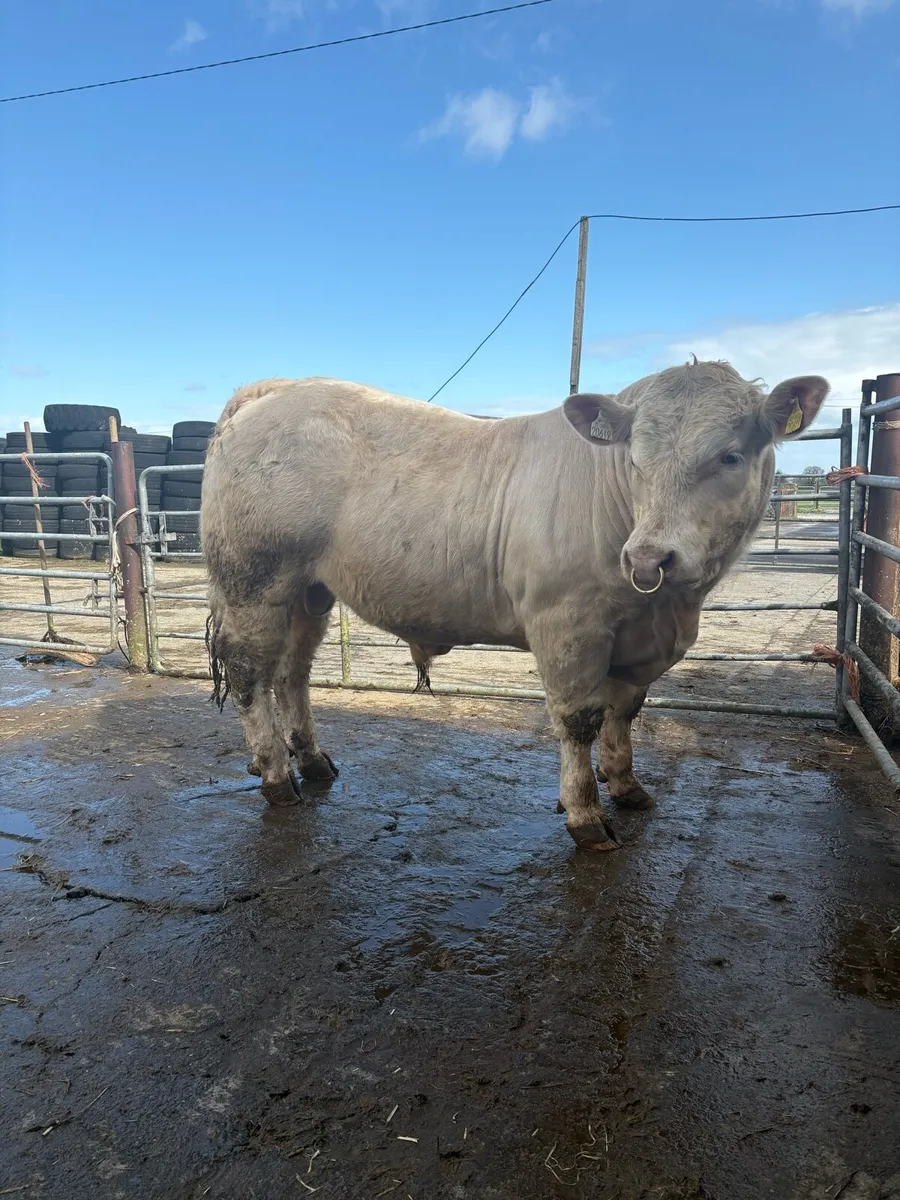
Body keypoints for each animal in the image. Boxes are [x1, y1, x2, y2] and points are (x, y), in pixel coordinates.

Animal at [201, 362, 828, 851]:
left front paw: (627, 787)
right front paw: (586, 815)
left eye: (730, 456)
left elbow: (625, 712)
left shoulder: (637, 639)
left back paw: (312, 762)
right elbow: (579, 720)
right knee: (250, 671)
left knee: (293, 671)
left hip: (309, 591)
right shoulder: (567, 624)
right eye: (635, 460)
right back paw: (277, 779)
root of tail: (277, 388)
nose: (650, 559)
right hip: (255, 578)